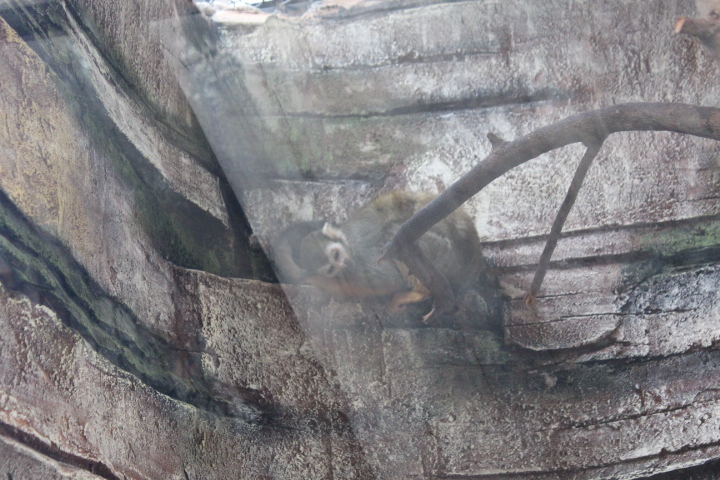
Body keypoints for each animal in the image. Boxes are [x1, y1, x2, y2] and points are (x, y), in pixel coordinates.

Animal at [272, 191, 485, 314]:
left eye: (336, 255)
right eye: (331, 268)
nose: (344, 265)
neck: (349, 246)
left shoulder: (361, 254)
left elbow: (386, 280)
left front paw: (311, 280)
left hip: (446, 255)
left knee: (398, 238)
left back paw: (421, 291)